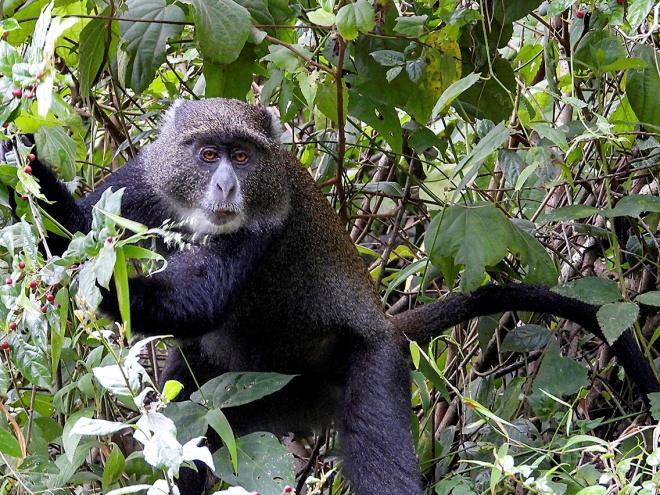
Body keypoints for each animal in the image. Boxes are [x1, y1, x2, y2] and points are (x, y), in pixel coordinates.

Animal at [4, 98, 658, 495]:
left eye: (243, 155)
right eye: (208, 153)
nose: (226, 186)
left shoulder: (269, 220)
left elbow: (197, 303)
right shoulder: (145, 180)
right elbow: (88, 224)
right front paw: (33, 177)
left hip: (371, 364)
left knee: (379, 454)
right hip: (225, 389)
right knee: (190, 421)